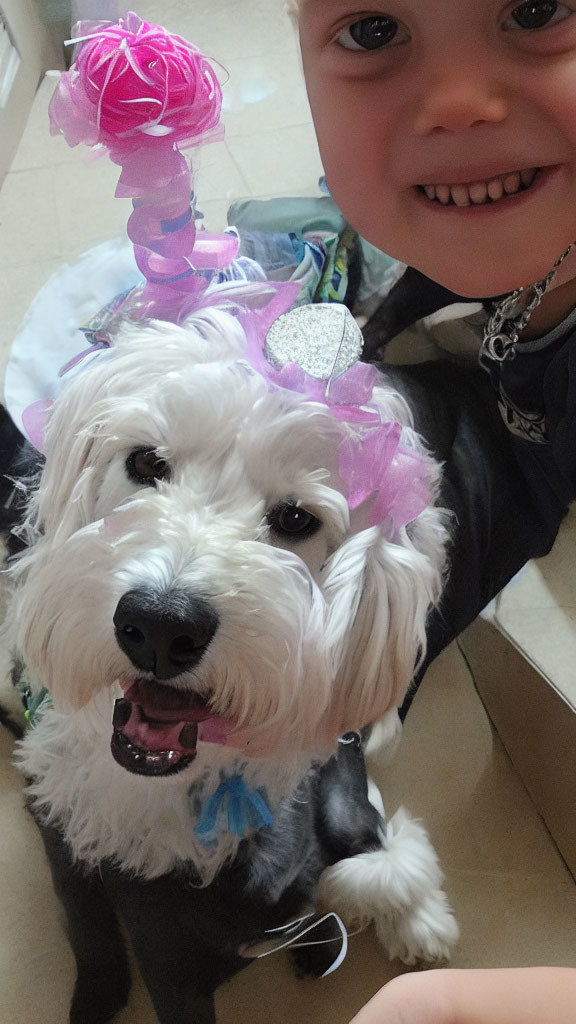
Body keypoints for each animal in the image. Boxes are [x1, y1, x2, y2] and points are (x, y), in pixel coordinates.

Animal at [6, 305, 455, 1024]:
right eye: (145, 461)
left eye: (296, 518)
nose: (161, 626)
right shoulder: (69, 845)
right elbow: (89, 929)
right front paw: (96, 994)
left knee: (374, 832)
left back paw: (416, 922)